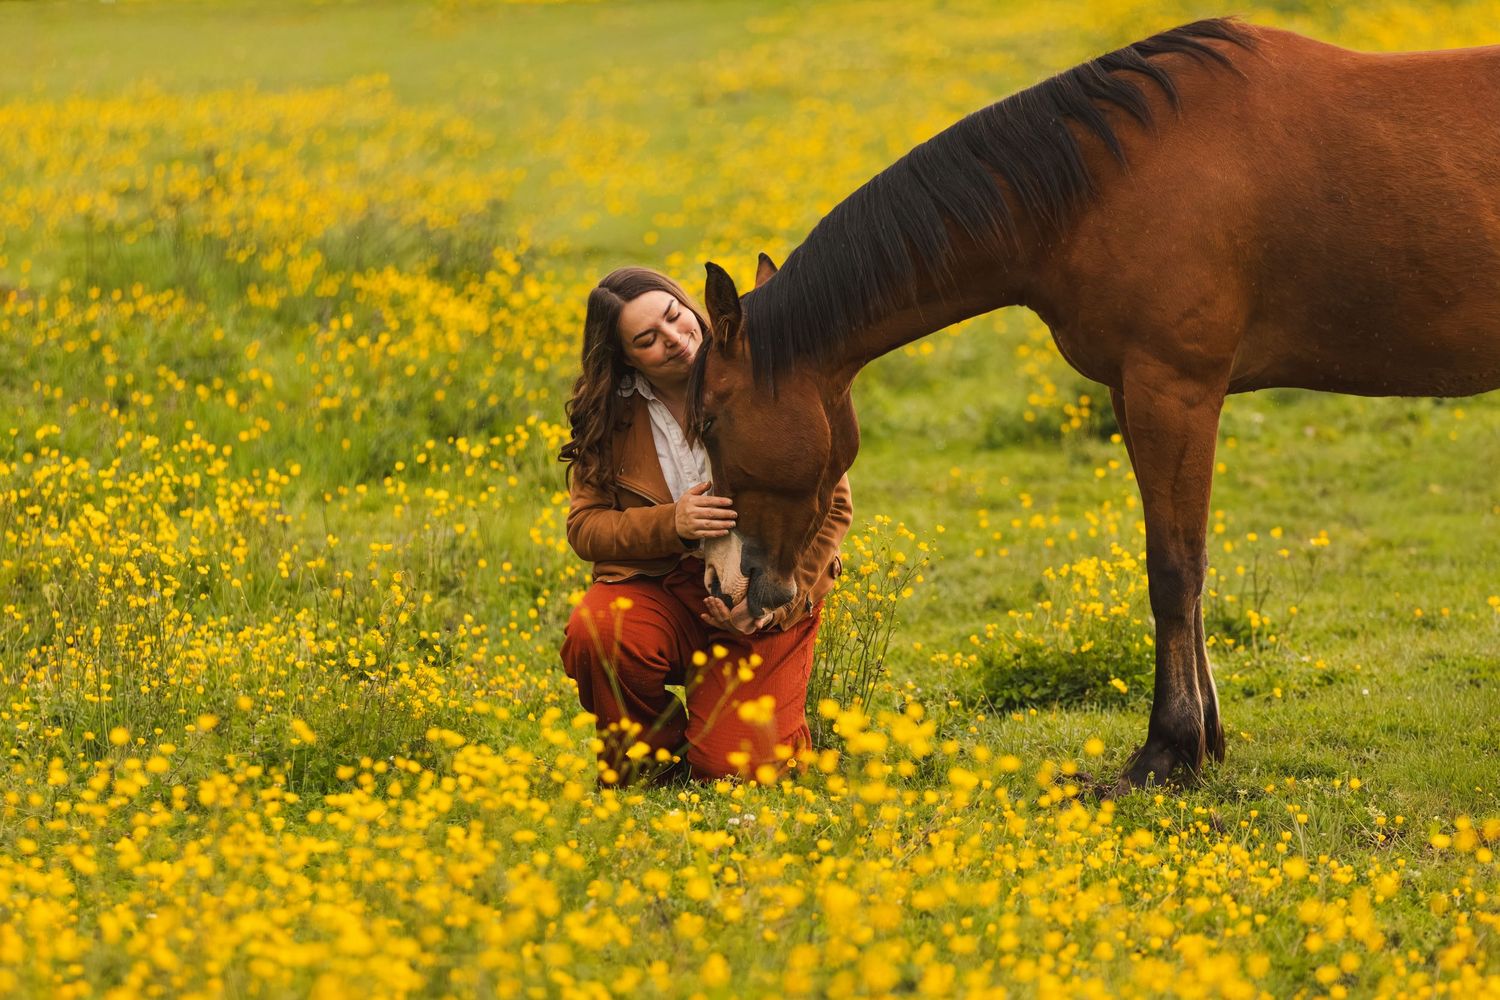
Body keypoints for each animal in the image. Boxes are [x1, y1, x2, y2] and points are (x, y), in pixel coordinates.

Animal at [686, 17, 1500, 792]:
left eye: (709, 420)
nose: (723, 582)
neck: (1107, 181)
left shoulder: (1175, 391)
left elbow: (1174, 572)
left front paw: (1166, 753)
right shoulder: (1132, 390)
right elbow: (1187, 570)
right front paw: (1205, 743)